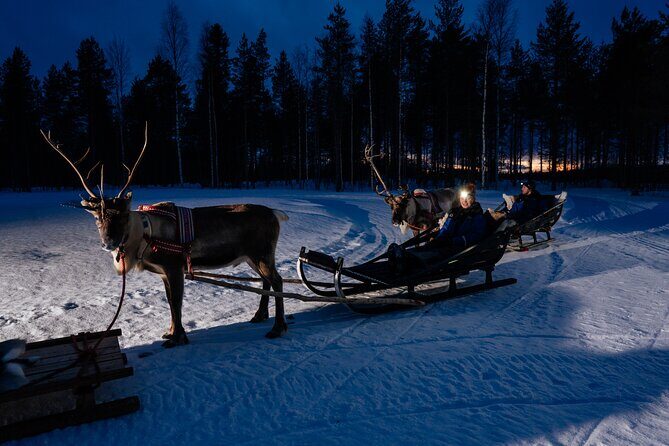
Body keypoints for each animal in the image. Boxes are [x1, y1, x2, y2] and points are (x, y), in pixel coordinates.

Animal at [41, 124, 289, 347]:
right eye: (97, 218)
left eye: (122, 215)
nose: (108, 242)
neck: (144, 235)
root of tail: (276, 214)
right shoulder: (162, 272)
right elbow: (170, 301)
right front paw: (170, 332)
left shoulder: (174, 266)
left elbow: (177, 302)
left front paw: (178, 337)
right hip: (252, 256)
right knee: (266, 281)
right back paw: (259, 316)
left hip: (261, 253)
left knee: (277, 280)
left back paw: (278, 328)